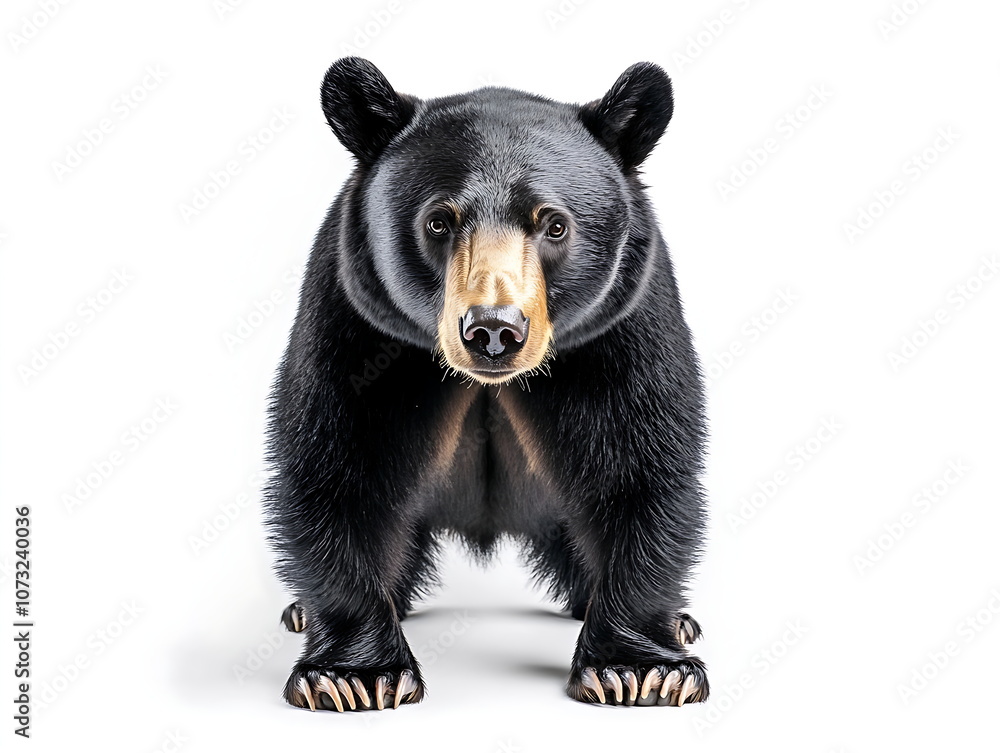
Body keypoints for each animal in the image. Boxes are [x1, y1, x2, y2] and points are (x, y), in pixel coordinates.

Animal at [265, 57, 709, 711]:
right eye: (438, 221)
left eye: (554, 225)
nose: (494, 329)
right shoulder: (359, 324)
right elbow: (339, 466)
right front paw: (354, 675)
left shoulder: (620, 327)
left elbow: (638, 465)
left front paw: (639, 669)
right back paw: (301, 612)